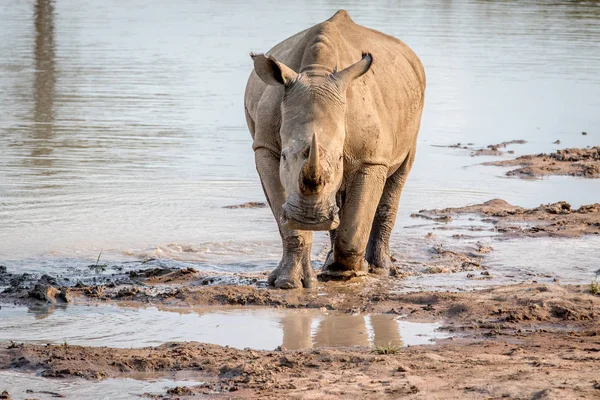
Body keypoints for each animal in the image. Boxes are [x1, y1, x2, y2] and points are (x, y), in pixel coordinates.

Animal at [244, 9, 426, 290]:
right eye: (284, 156)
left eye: (340, 157)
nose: (310, 219)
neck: (317, 73)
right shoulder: (265, 147)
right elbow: (287, 223)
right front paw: (288, 283)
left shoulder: (371, 159)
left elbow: (356, 223)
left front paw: (349, 271)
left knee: (400, 174)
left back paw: (381, 269)